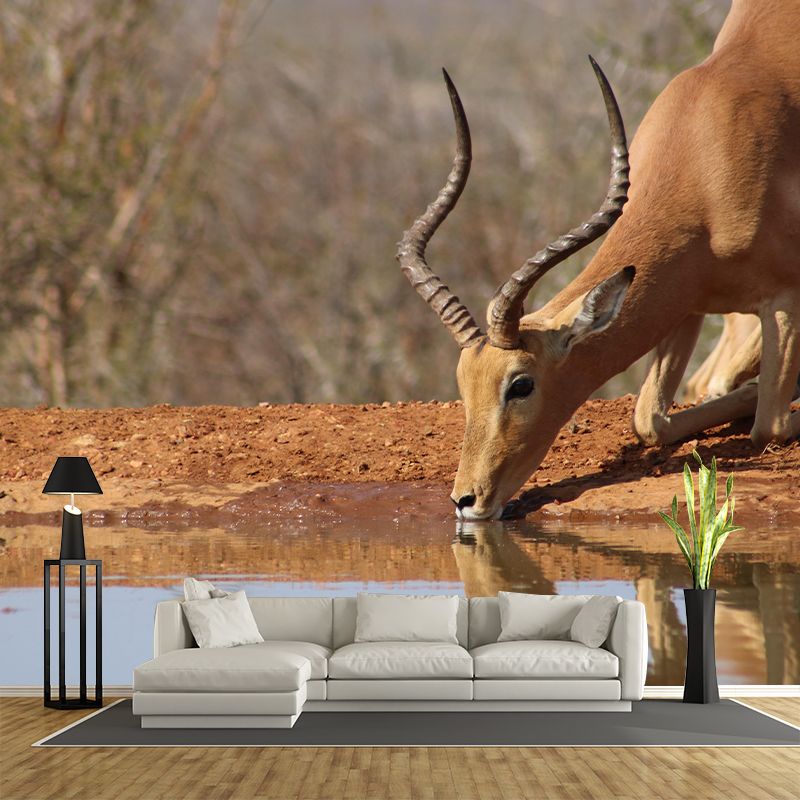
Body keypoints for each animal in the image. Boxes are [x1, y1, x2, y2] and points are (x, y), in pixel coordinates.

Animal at [397, 1, 800, 521]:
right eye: (463, 383)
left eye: (521, 384)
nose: (466, 500)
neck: (706, 162)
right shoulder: (684, 298)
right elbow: (649, 420)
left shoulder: (784, 298)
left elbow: (770, 424)